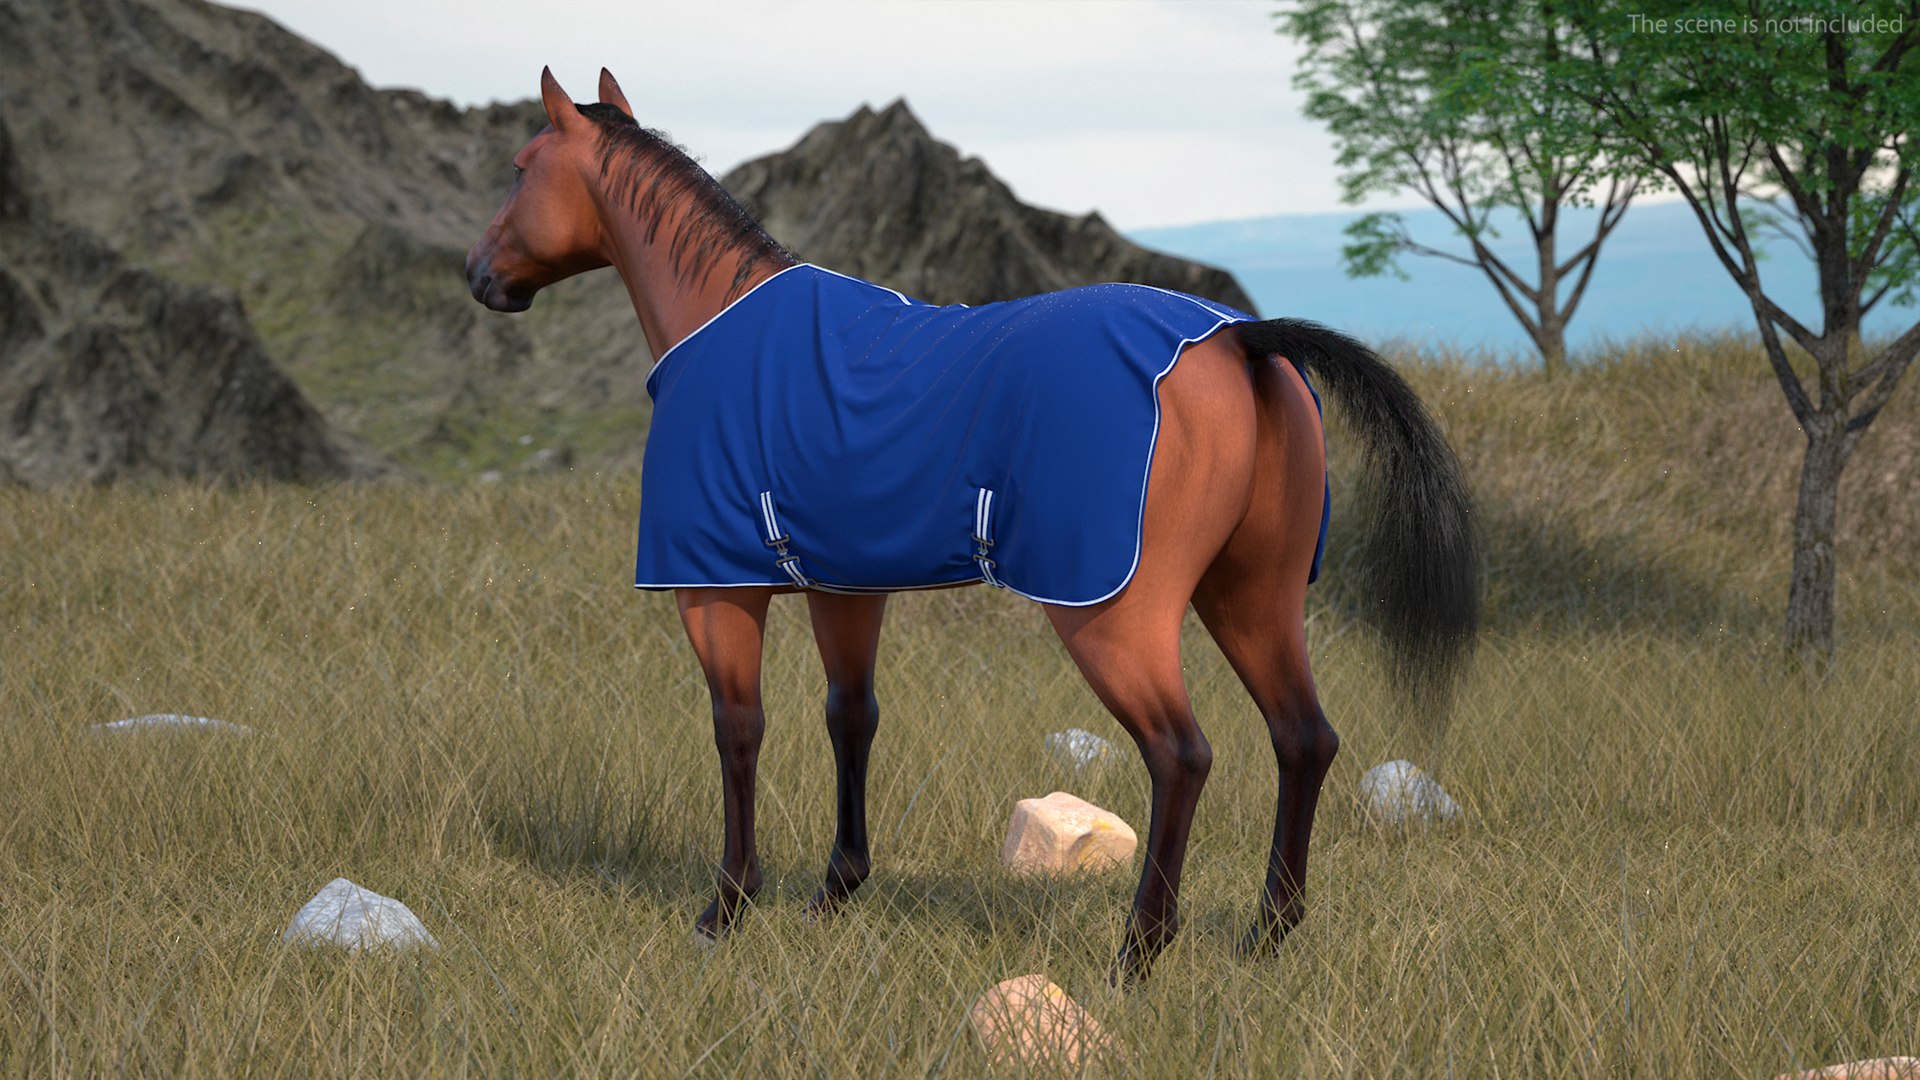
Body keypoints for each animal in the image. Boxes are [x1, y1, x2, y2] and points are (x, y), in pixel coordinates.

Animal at [466, 67, 1478, 982]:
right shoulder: (845, 586)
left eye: (521, 167)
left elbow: (738, 728)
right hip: (1252, 596)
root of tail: (1239, 341)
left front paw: (728, 907)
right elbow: (851, 717)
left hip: (1116, 618)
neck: (723, 322)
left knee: (1181, 755)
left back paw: (1139, 954)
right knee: (1303, 739)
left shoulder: (716, 589)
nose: (481, 278)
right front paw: (835, 892)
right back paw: (1268, 937)